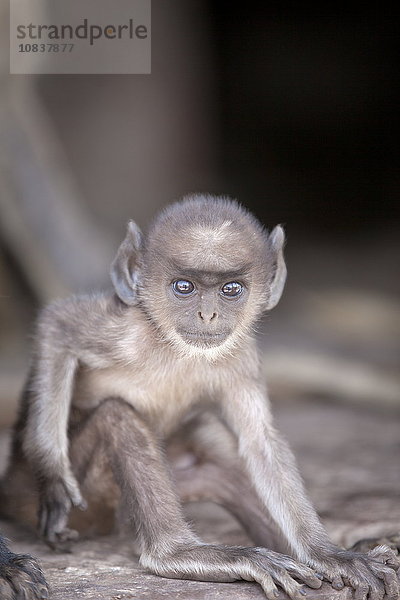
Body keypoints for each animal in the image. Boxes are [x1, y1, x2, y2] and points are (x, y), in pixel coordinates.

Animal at [1, 195, 398, 596]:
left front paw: (330, 555)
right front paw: (52, 476)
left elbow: (260, 444)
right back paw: (179, 553)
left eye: (231, 289)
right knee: (118, 416)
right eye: (184, 286)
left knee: (212, 437)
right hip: (64, 499)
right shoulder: (125, 330)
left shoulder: (241, 355)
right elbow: (56, 323)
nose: (208, 315)